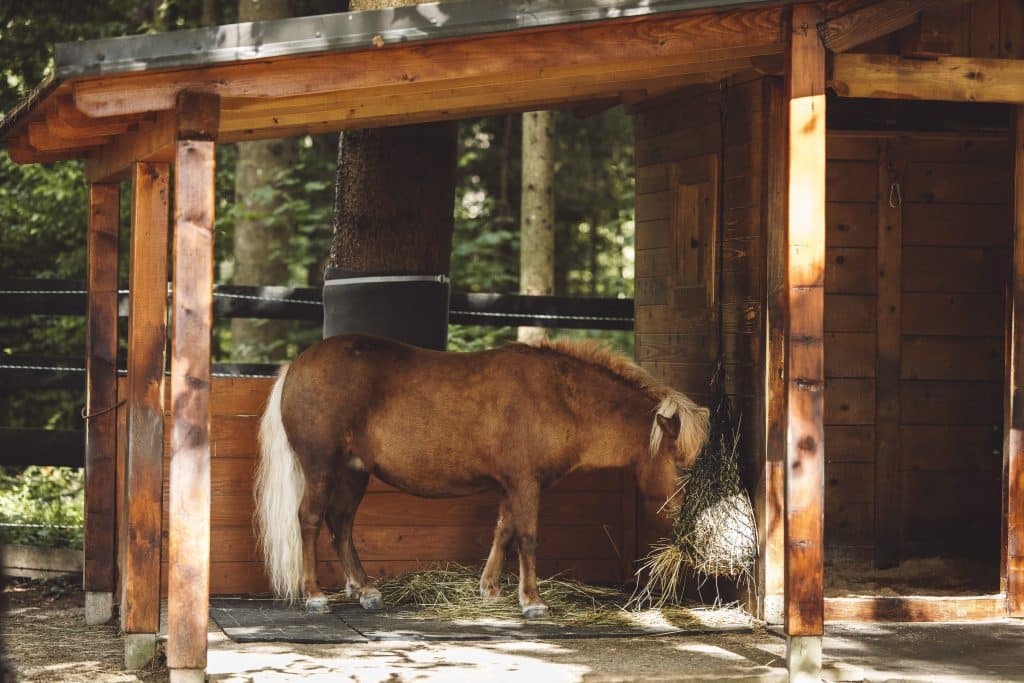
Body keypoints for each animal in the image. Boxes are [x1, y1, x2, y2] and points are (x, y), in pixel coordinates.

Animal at [254, 333, 709, 618]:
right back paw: (315, 595)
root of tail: (296, 366)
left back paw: (365, 590)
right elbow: (526, 537)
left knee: (342, 523)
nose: (686, 523)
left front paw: (490, 590)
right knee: (311, 520)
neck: (558, 396)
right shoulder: (526, 484)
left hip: (353, 473)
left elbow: (503, 531)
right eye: (682, 466)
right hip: (322, 469)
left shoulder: (513, 485)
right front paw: (531, 600)